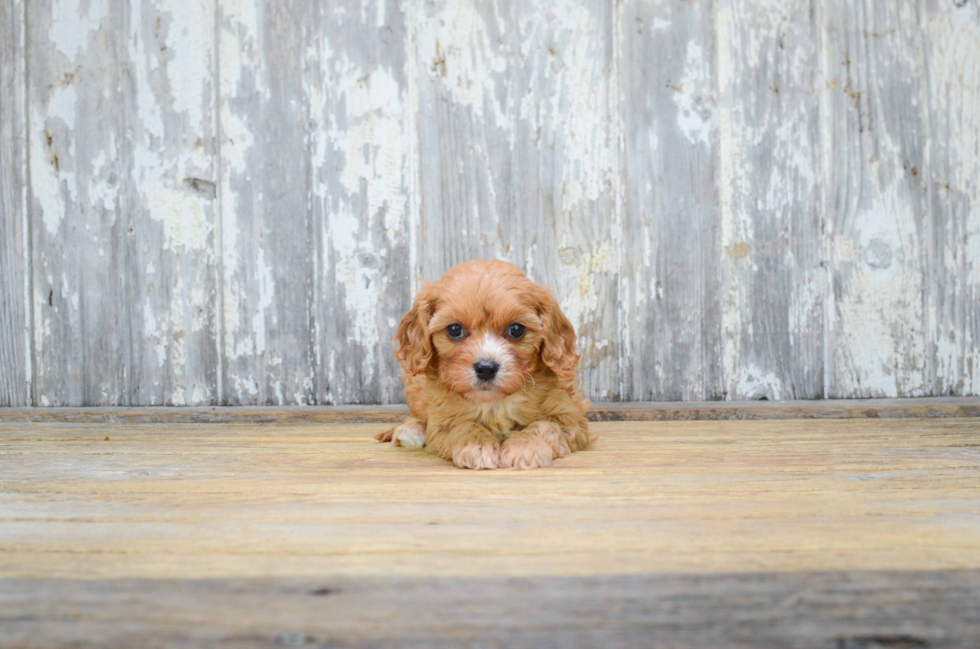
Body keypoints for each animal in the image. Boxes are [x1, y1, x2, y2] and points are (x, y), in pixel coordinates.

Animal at [374, 260, 588, 470]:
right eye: (454, 329)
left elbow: (545, 426)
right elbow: (460, 425)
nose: (486, 368)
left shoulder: (571, 417)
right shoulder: (442, 417)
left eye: (516, 329)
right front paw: (477, 445)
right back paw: (410, 430)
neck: (494, 403)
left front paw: (525, 446)